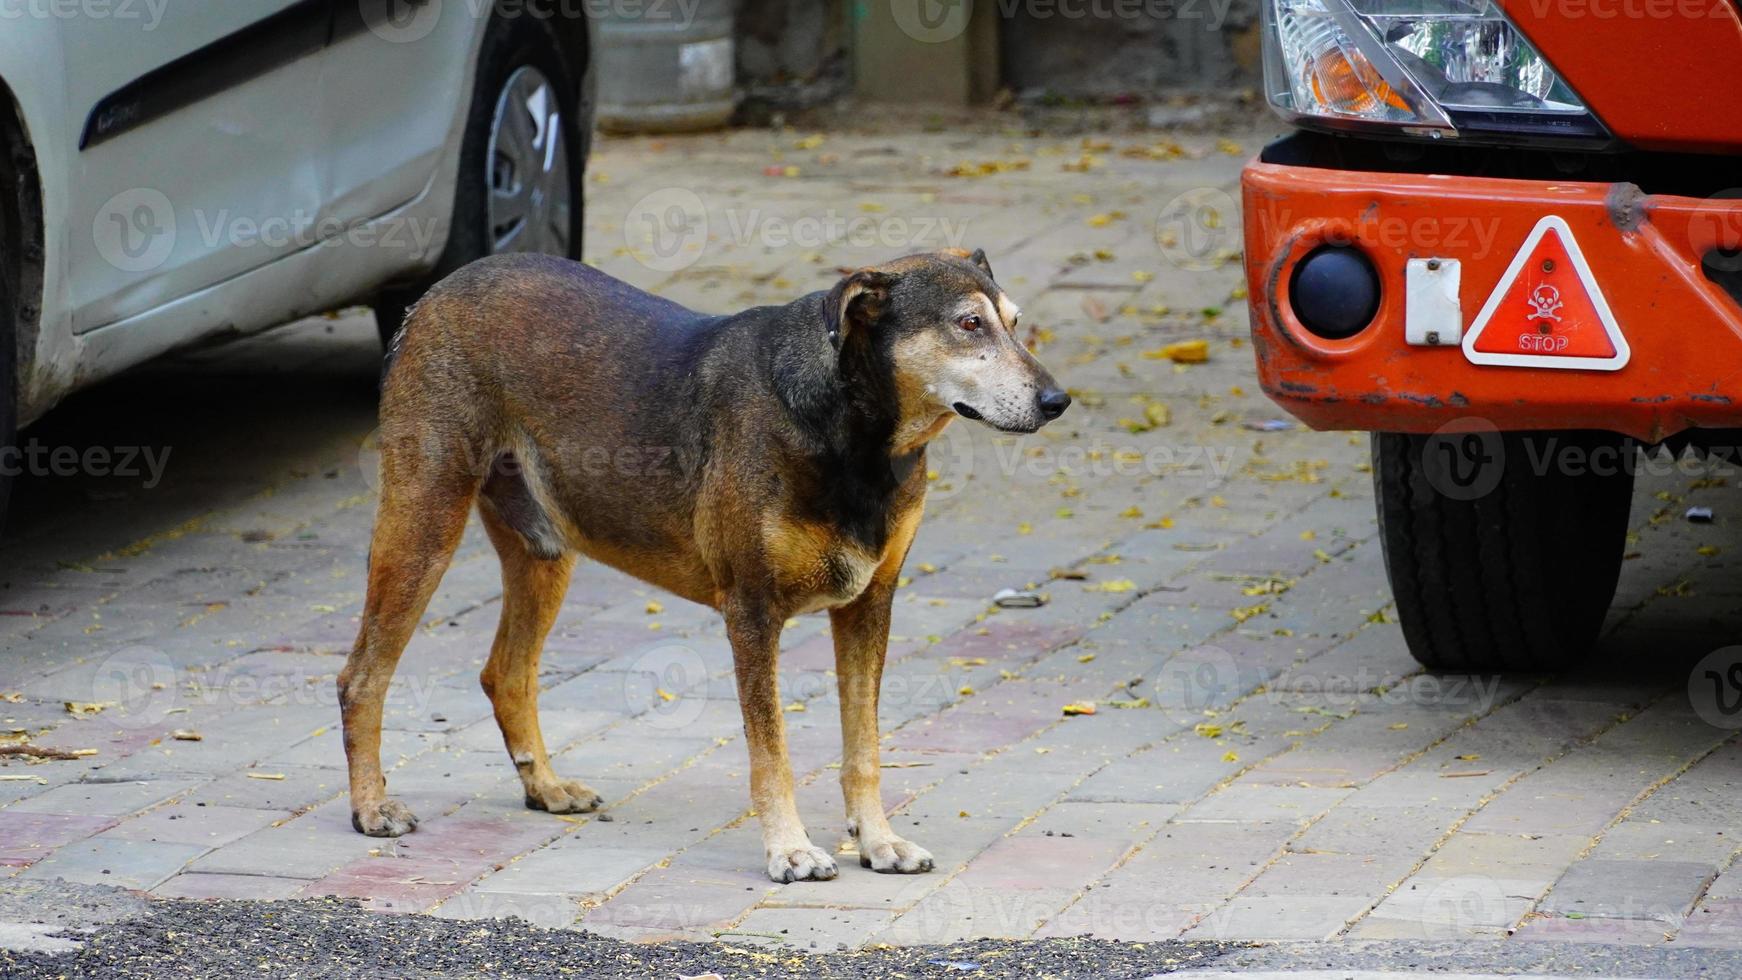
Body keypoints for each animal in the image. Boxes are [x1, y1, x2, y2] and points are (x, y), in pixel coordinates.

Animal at [339, 248, 1066, 884]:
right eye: (968, 324)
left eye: (1015, 321)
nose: (1057, 401)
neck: (852, 434)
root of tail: (435, 294)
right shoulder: (753, 614)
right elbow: (771, 753)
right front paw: (790, 850)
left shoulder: (870, 606)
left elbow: (864, 748)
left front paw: (879, 842)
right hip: (424, 523)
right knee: (363, 677)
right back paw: (371, 806)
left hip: (544, 550)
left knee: (506, 675)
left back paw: (544, 788)